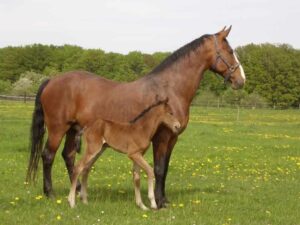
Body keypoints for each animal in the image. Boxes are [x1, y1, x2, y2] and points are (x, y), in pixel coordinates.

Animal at [26, 26, 246, 209]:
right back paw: (51, 193)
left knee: (69, 157)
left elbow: (165, 168)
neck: (170, 88)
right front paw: (158, 202)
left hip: (74, 129)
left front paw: (163, 199)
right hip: (58, 129)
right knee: (48, 156)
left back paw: (79, 191)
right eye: (229, 51)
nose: (241, 80)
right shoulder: (162, 137)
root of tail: (51, 80)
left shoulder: (172, 138)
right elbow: (158, 168)